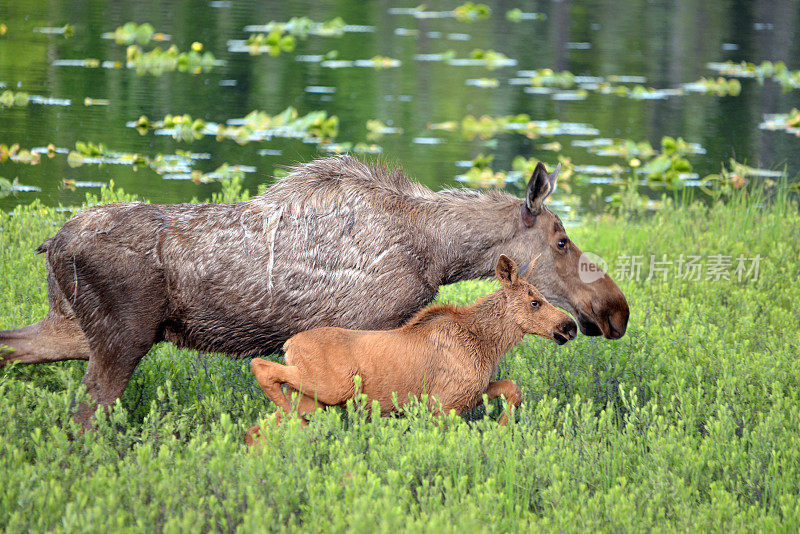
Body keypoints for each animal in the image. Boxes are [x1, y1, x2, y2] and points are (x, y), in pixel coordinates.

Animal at [245, 255, 576, 444]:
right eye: (535, 302)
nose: (569, 326)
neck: (488, 344)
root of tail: (289, 345)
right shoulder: (442, 404)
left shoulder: (470, 392)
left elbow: (512, 389)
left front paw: (500, 430)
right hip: (332, 387)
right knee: (261, 366)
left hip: (312, 401)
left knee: (254, 430)